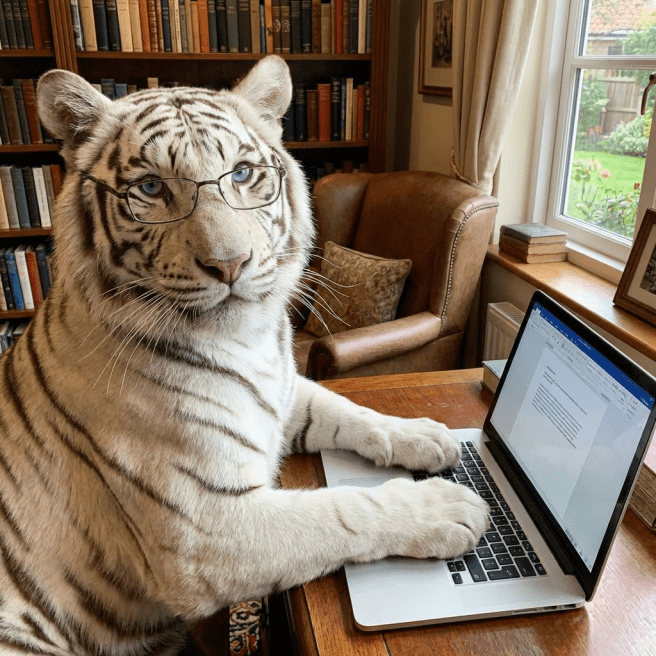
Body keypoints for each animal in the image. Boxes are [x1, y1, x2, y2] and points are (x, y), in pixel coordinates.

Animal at [0, 55, 489, 655]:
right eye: (150, 187)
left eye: (240, 173)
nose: (230, 264)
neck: (246, 344)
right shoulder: (209, 533)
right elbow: (343, 509)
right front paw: (447, 507)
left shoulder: (284, 391)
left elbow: (353, 412)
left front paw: (427, 435)